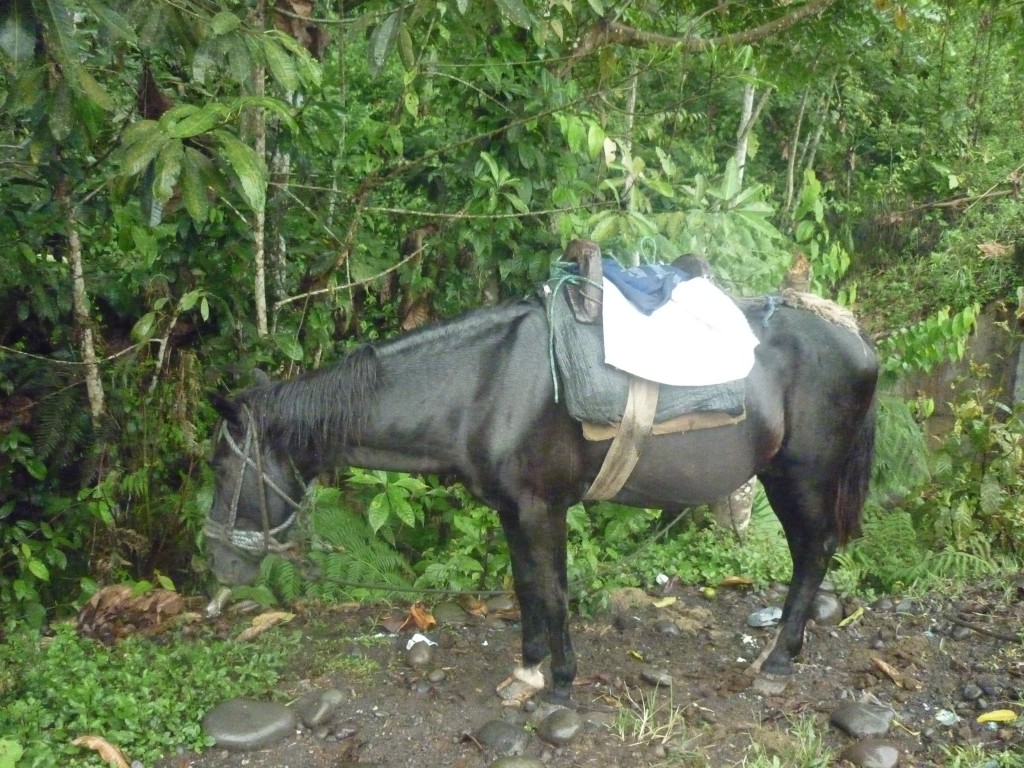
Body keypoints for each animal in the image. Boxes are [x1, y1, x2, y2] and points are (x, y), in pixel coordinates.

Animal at [204, 286, 878, 704]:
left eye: (221, 464)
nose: (219, 563)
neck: (486, 385)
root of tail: (861, 345)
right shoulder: (511, 509)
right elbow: (526, 585)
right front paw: (527, 669)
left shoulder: (541, 507)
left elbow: (553, 591)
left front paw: (559, 682)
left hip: (801, 479)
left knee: (812, 555)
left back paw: (779, 661)